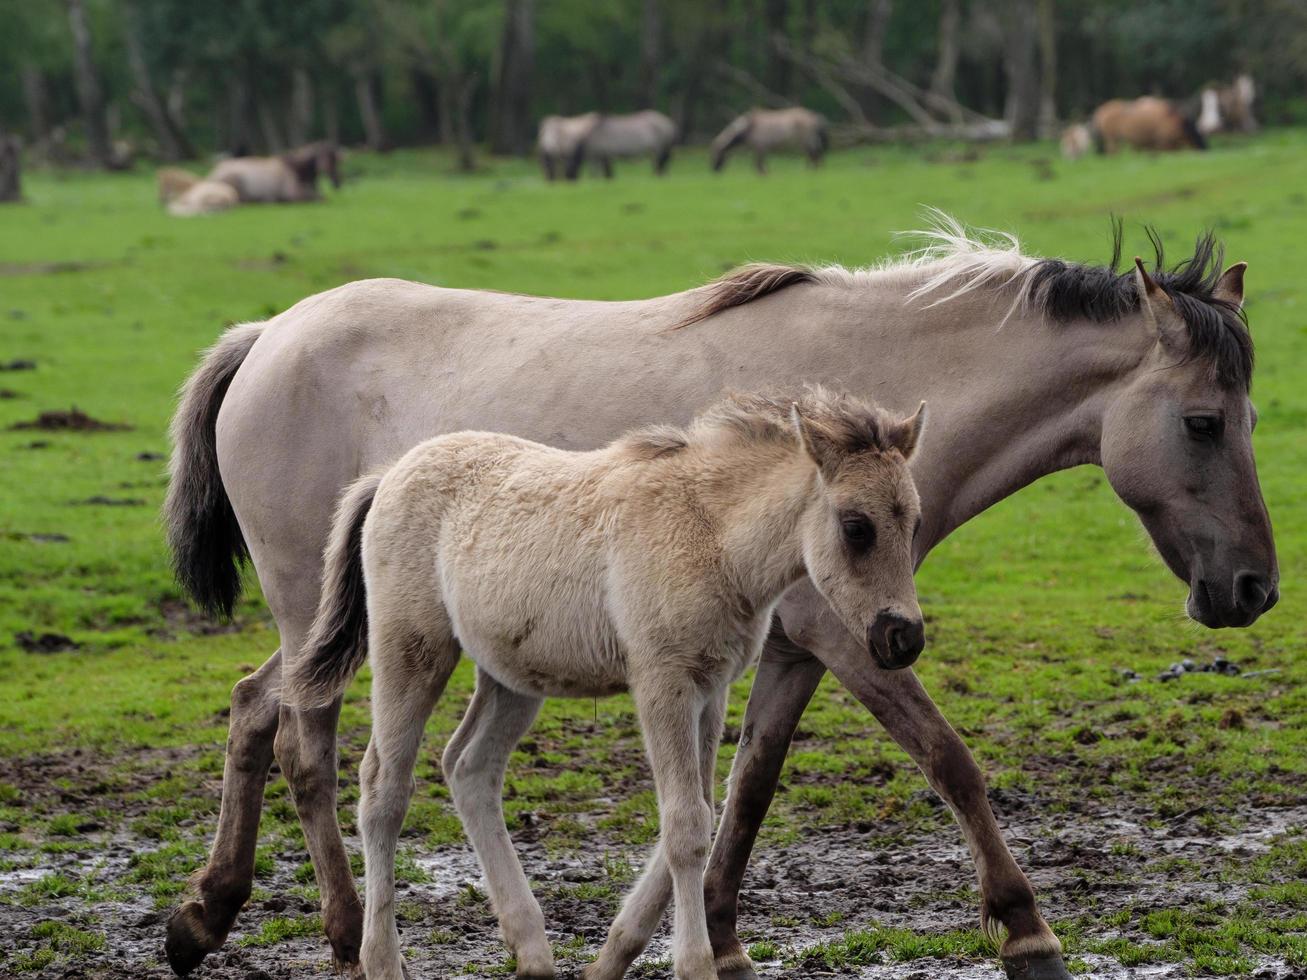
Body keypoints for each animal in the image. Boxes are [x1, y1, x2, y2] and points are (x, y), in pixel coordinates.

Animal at [206, 139, 339, 203]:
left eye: (336, 160)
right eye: (328, 159)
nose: (337, 182)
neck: (297, 171)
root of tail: (213, 173)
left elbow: (322, 196)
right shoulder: (295, 194)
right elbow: (322, 198)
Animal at [290, 389, 925, 980]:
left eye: (914, 521)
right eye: (856, 527)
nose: (904, 638)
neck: (712, 532)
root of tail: (390, 473)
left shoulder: (710, 687)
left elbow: (699, 812)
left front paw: (610, 958)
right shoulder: (663, 682)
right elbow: (686, 826)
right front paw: (694, 965)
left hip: (512, 674)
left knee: (468, 767)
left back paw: (532, 951)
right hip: (411, 648)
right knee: (383, 788)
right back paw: (382, 959)